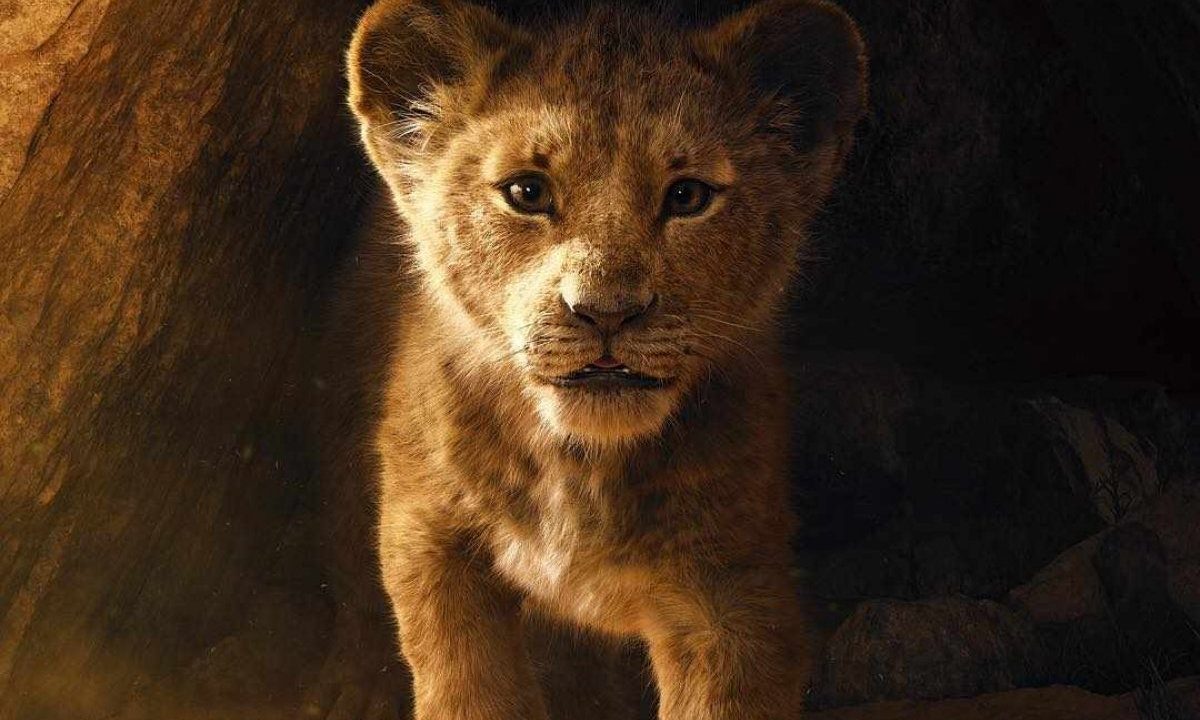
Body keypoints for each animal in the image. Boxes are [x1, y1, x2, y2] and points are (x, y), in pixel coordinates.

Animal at [306, 1, 867, 718]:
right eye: (526, 192)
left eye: (687, 197)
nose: (605, 311)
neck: (580, 465)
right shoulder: (428, 535)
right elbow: (467, 685)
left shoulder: (736, 590)